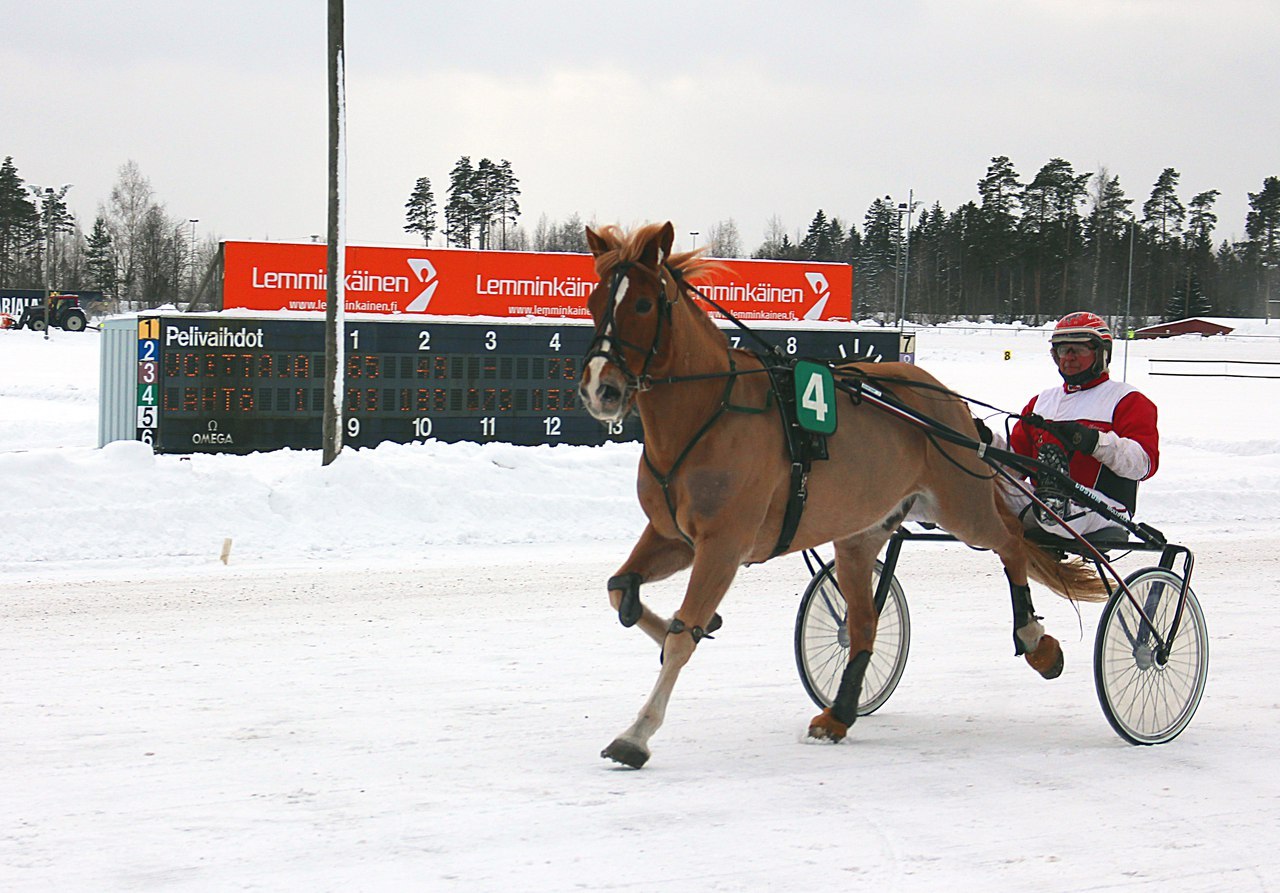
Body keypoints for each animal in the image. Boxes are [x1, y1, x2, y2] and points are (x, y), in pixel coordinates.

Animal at [578, 221, 1100, 767]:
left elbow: (683, 638)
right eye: (595, 300)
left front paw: (636, 734)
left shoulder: (723, 545)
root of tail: (944, 398)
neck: (707, 416)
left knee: (1011, 543)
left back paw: (1037, 641)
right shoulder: (672, 535)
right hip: (861, 535)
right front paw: (671, 624)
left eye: (642, 304)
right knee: (865, 623)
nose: (599, 389)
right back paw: (840, 714)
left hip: (962, 504)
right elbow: (620, 590)